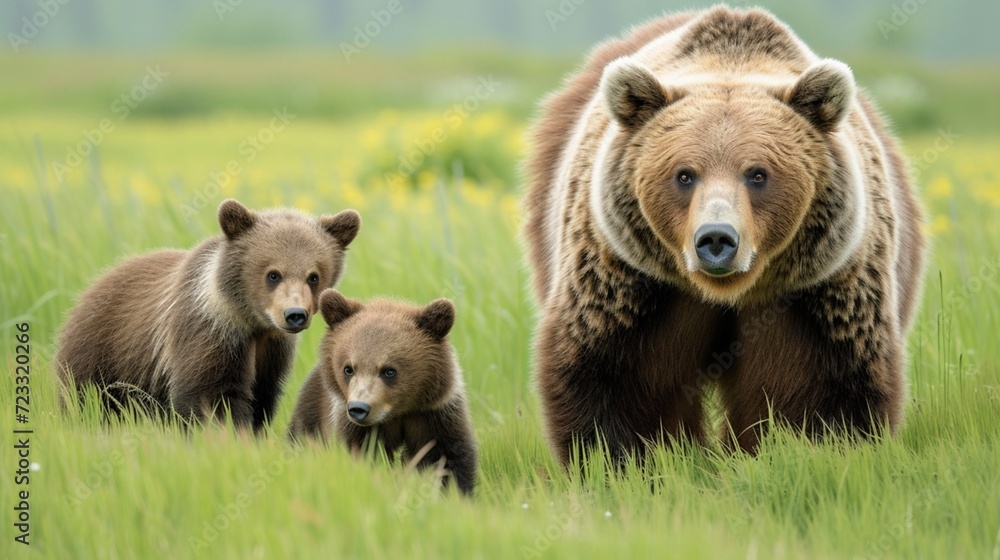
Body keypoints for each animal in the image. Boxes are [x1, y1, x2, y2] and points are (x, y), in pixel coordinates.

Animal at [55, 199, 361, 431]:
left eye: (313, 276)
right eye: (273, 274)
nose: (295, 314)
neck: (252, 324)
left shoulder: (272, 353)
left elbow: (262, 397)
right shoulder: (209, 332)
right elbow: (211, 395)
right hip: (102, 352)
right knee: (84, 397)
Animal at [288, 289, 478, 495]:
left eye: (389, 370)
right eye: (348, 369)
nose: (359, 408)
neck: (396, 413)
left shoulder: (434, 417)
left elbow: (449, 459)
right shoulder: (354, 429)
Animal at [523, 6, 926, 467]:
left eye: (757, 174)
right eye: (684, 174)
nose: (716, 238)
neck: (727, 292)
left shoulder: (815, 294)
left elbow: (822, 392)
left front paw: (805, 450)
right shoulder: (631, 284)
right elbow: (613, 379)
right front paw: (624, 460)